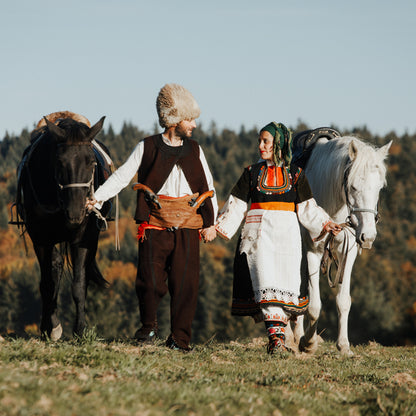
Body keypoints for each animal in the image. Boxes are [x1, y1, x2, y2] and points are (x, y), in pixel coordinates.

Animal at [18, 115, 110, 340]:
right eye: (59, 162)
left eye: (91, 162)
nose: (76, 212)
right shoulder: (40, 238)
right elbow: (47, 283)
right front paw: (47, 327)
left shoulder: (84, 237)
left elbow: (79, 284)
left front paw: (80, 330)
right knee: (56, 267)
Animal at [290, 136, 392, 354]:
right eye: (352, 186)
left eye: (379, 188)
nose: (368, 237)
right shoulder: (312, 252)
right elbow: (314, 305)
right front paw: (308, 343)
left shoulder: (348, 253)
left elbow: (343, 300)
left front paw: (344, 345)